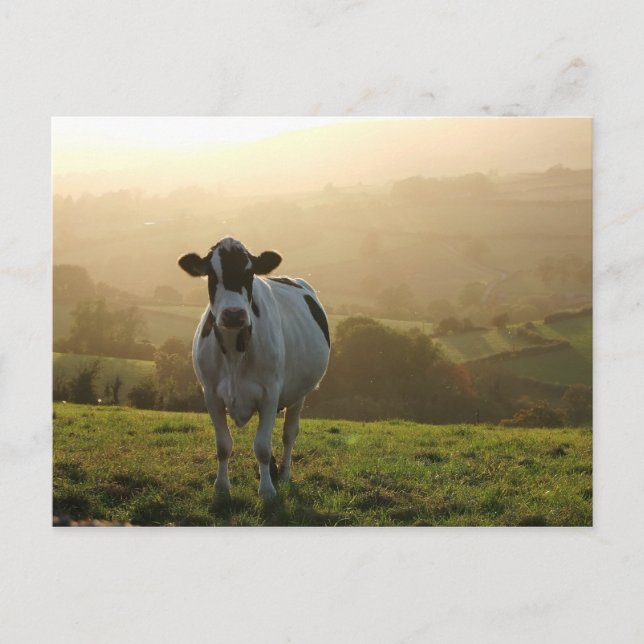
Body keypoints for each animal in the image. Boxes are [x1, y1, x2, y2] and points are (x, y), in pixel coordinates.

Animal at [178, 237, 330, 500]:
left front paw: (267, 490)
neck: (234, 352)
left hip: (299, 393)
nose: (233, 314)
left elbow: (262, 447)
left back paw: (284, 473)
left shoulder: (270, 394)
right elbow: (223, 445)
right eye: (211, 274)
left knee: (289, 433)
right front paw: (221, 487)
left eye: (249, 274)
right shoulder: (211, 394)